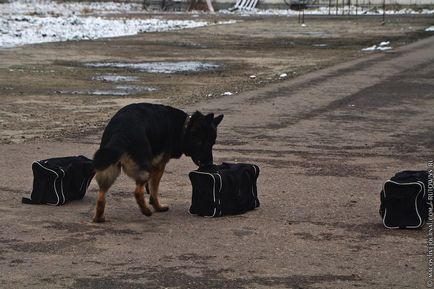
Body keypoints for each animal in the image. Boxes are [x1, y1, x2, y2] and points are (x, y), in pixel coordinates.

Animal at [93, 102, 225, 222]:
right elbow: (154, 191)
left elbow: (152, 190)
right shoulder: (159, 167)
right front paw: (158, 207)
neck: (183, 127)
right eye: (203, 143)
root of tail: (120, 132)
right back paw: (146, 211)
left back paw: (99, 217)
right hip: (143, 169)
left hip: (109, 167)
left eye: (212, 144)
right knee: (137, 192)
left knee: (101, 195)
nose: (209, 163)